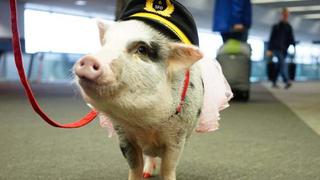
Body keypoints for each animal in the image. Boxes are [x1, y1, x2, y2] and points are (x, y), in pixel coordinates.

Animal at [74, 19, 231, 180]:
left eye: (142, 49)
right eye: (105, 44)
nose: (88, 59)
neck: (146, 124)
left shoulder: (177, 137)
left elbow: (168, 167)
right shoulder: (123, 135)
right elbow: (134, 166)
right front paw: (139, 175)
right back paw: (147, 174)